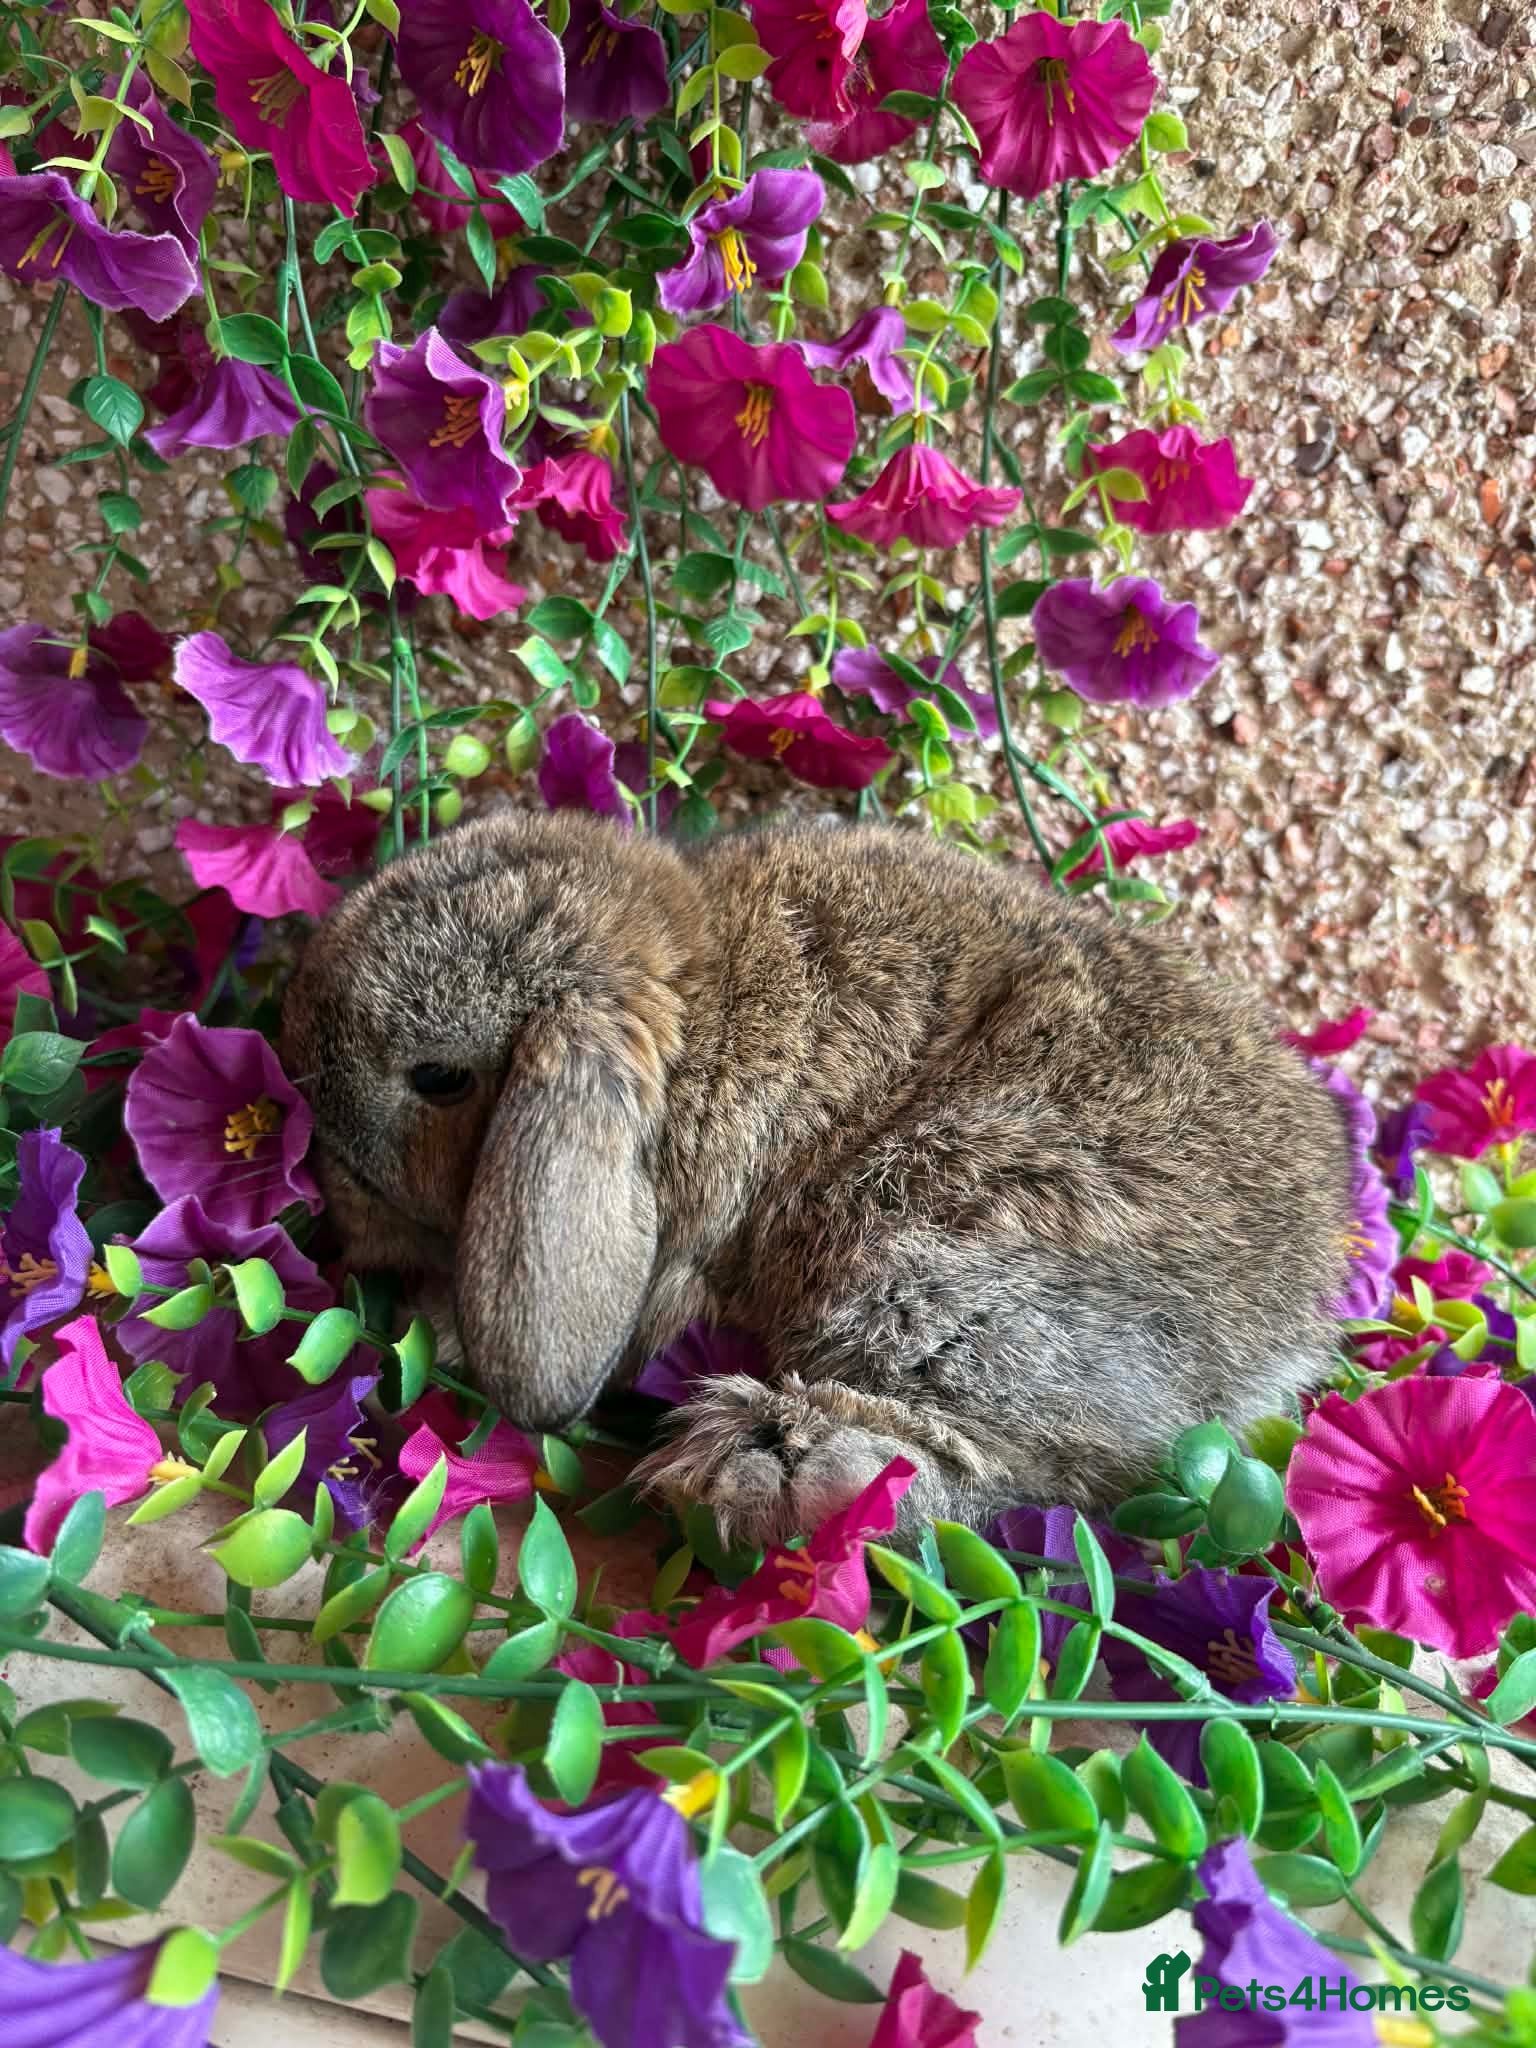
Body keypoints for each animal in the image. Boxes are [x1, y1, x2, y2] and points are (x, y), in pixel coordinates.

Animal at [281, 808, 1357, 1546]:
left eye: (438, 1078)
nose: (332, 1188)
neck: (700, 1007)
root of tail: (1282, 1337)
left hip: (923, 1265)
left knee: (1020, 1475)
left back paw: (754, 1458)